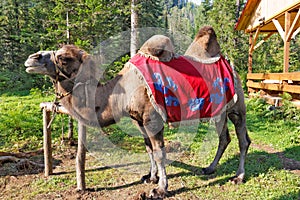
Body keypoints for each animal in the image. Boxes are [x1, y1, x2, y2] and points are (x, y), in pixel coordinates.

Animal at [25, 26, 251, 198]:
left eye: (64, 58)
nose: (32, 58)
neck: (121, 93)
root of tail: (231, 66)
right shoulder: (138, 120)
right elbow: (148, 148)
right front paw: (150, 177)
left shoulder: (152, 119)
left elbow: (159, 153)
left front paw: (160, 189)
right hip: (219, 111)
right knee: (224, 137)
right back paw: (210, 168)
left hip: (237, 107)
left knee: (243, 139)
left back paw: (238, 176)